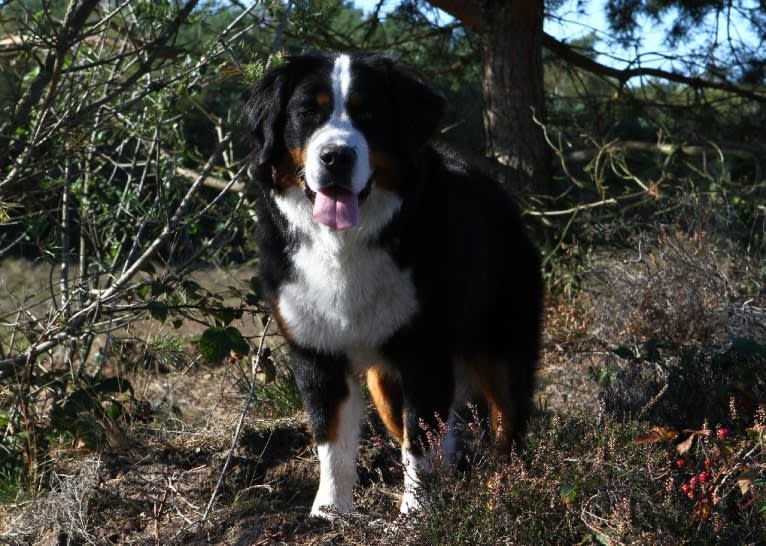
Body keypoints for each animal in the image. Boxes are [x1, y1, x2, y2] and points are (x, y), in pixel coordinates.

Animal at [243, 50, 544, 516]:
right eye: (307, 113)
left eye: (369, 114)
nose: (336, 156)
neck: (344, 245)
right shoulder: (317, 351)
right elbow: (332, 441)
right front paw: (330, 512)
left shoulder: (425, 350)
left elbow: (420, 443)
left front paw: (419, 515)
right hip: (384, 383)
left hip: (501, 350)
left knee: (505, 428)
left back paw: (502, 493)